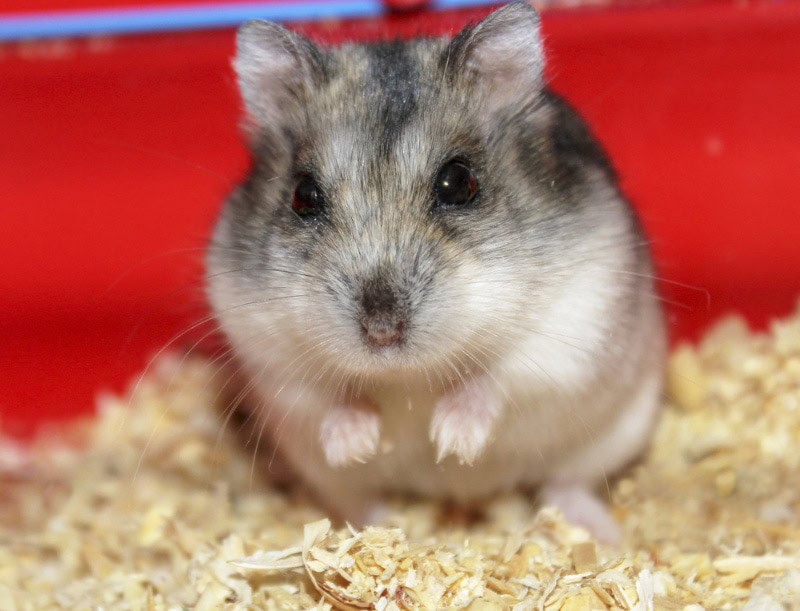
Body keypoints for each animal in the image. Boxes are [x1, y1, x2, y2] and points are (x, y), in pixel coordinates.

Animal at [206, 1, 666, 540]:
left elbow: (497, 377)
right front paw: (354, 444)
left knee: (564, 486)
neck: (408, 376)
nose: (382, 331)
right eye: (303, 195)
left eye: (459, 183)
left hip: (614, 434)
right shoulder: (267, 352)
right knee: (363, 502)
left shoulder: (569, 327)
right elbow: (327, 392)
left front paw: (452, 441)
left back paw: (608, 537)